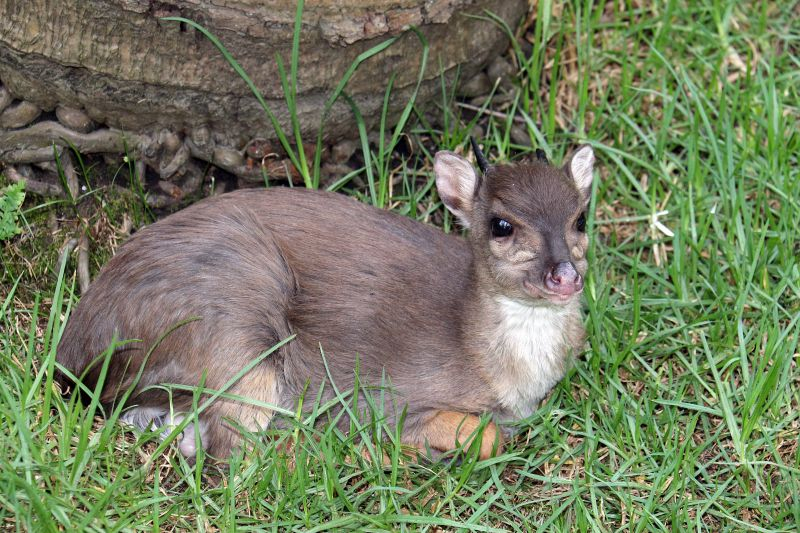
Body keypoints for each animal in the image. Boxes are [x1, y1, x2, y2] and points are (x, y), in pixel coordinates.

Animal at [56, 141, 592, 458]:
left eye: (580, 218)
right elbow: (485, 435)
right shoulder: (384, 398)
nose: (565, 277)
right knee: (232, 457)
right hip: (236, 345)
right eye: (501, 225)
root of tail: (72, 359)